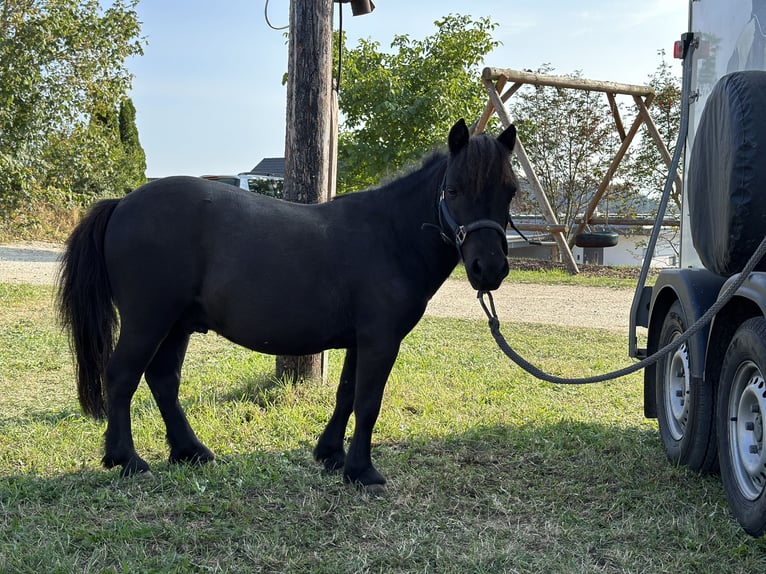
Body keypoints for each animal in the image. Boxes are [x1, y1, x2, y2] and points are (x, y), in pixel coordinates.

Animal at [57, 119, 518, 488]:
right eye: (453, 189)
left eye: (510, 190)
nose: (489, 268)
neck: (389, 235)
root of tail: (123, 203)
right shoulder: (381, 340)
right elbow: (368, 402)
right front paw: (362, 471)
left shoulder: (360, 341)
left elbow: (346, 395)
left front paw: (332, 455)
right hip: (148, 321)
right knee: (122, 377)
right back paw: (127, 460)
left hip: (176, 326)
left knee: (163, 380)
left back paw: (191, 451)